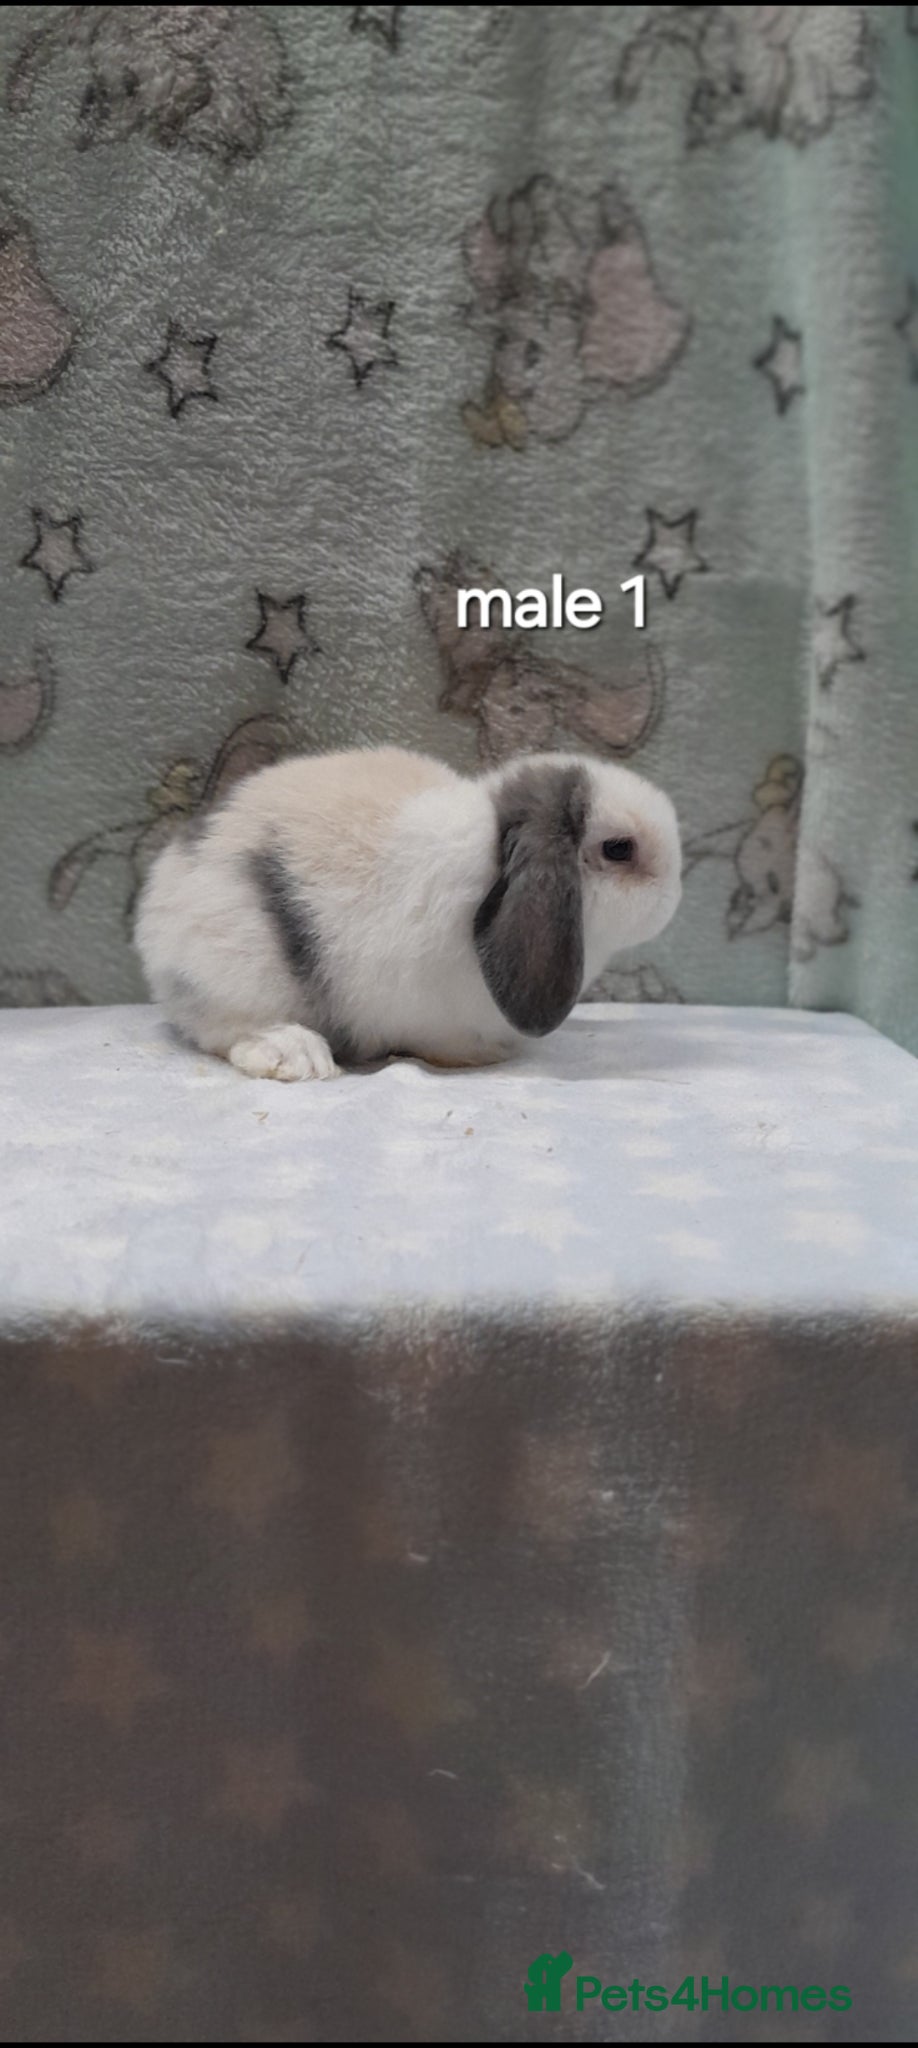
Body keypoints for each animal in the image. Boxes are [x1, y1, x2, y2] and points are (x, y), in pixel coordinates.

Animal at [135, 745, 682, 1081]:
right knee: (224, 1028)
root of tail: (153, 910)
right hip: (239, 968)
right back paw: (296, 1054)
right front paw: (485, 1057)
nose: (674, 895)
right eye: (618, 849)